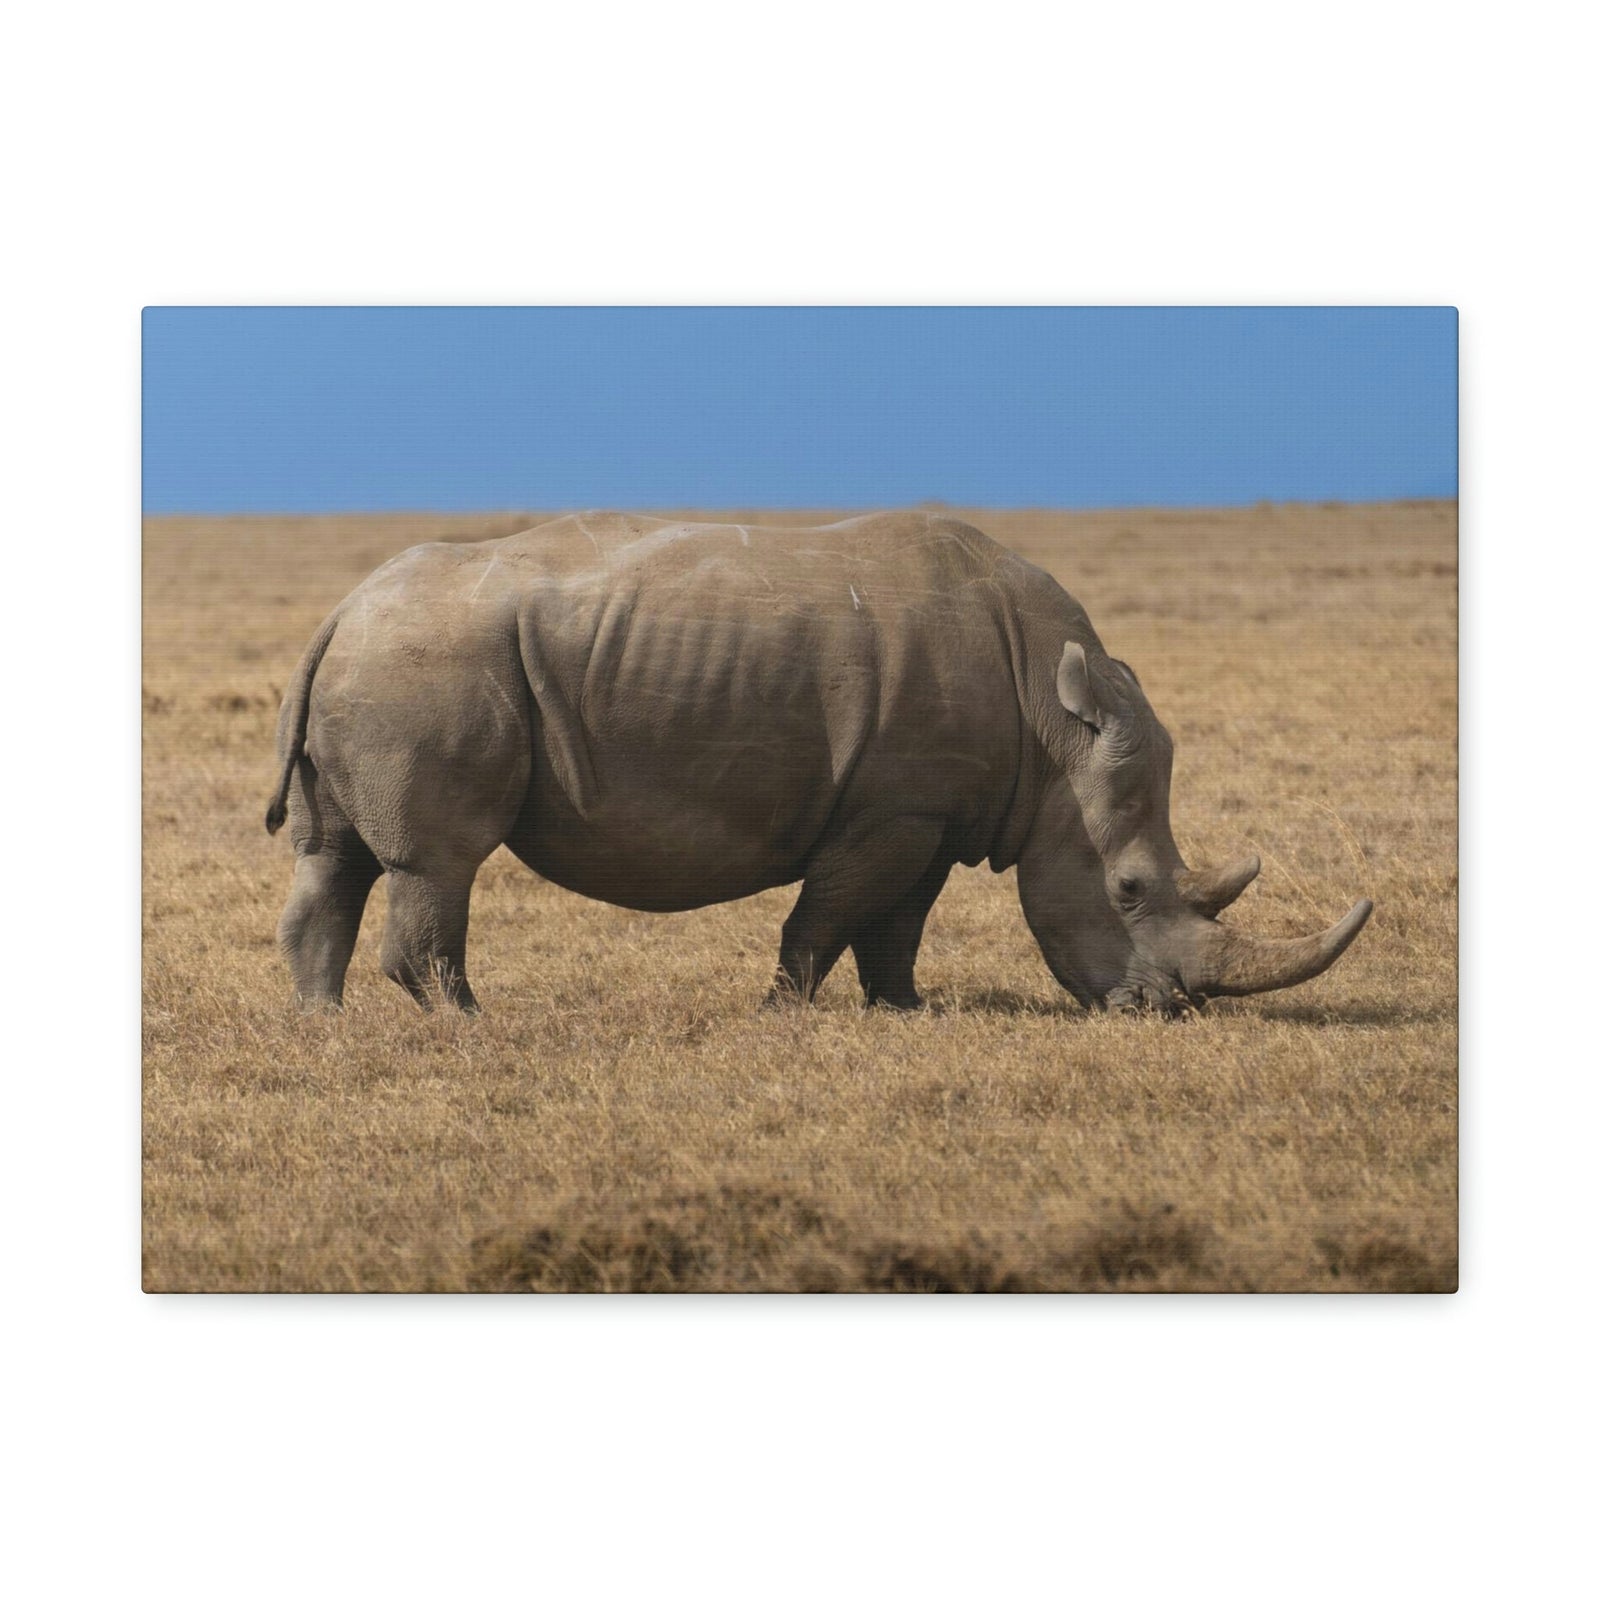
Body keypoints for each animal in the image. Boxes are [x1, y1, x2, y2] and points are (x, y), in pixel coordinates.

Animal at [266, 511, 1371, 1017]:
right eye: (1132, 889)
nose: (1164, 1010)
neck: (1054, 728)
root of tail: (341, 609)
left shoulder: (933, 810)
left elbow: (897, 923)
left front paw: (905, 1012)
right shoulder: (892, 808)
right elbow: (829, 914)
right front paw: (785, 1011)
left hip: (382, 664)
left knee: (335, 858)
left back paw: (327, 1023)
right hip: (425, 667)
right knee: (438, 860)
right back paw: (466, 1021)